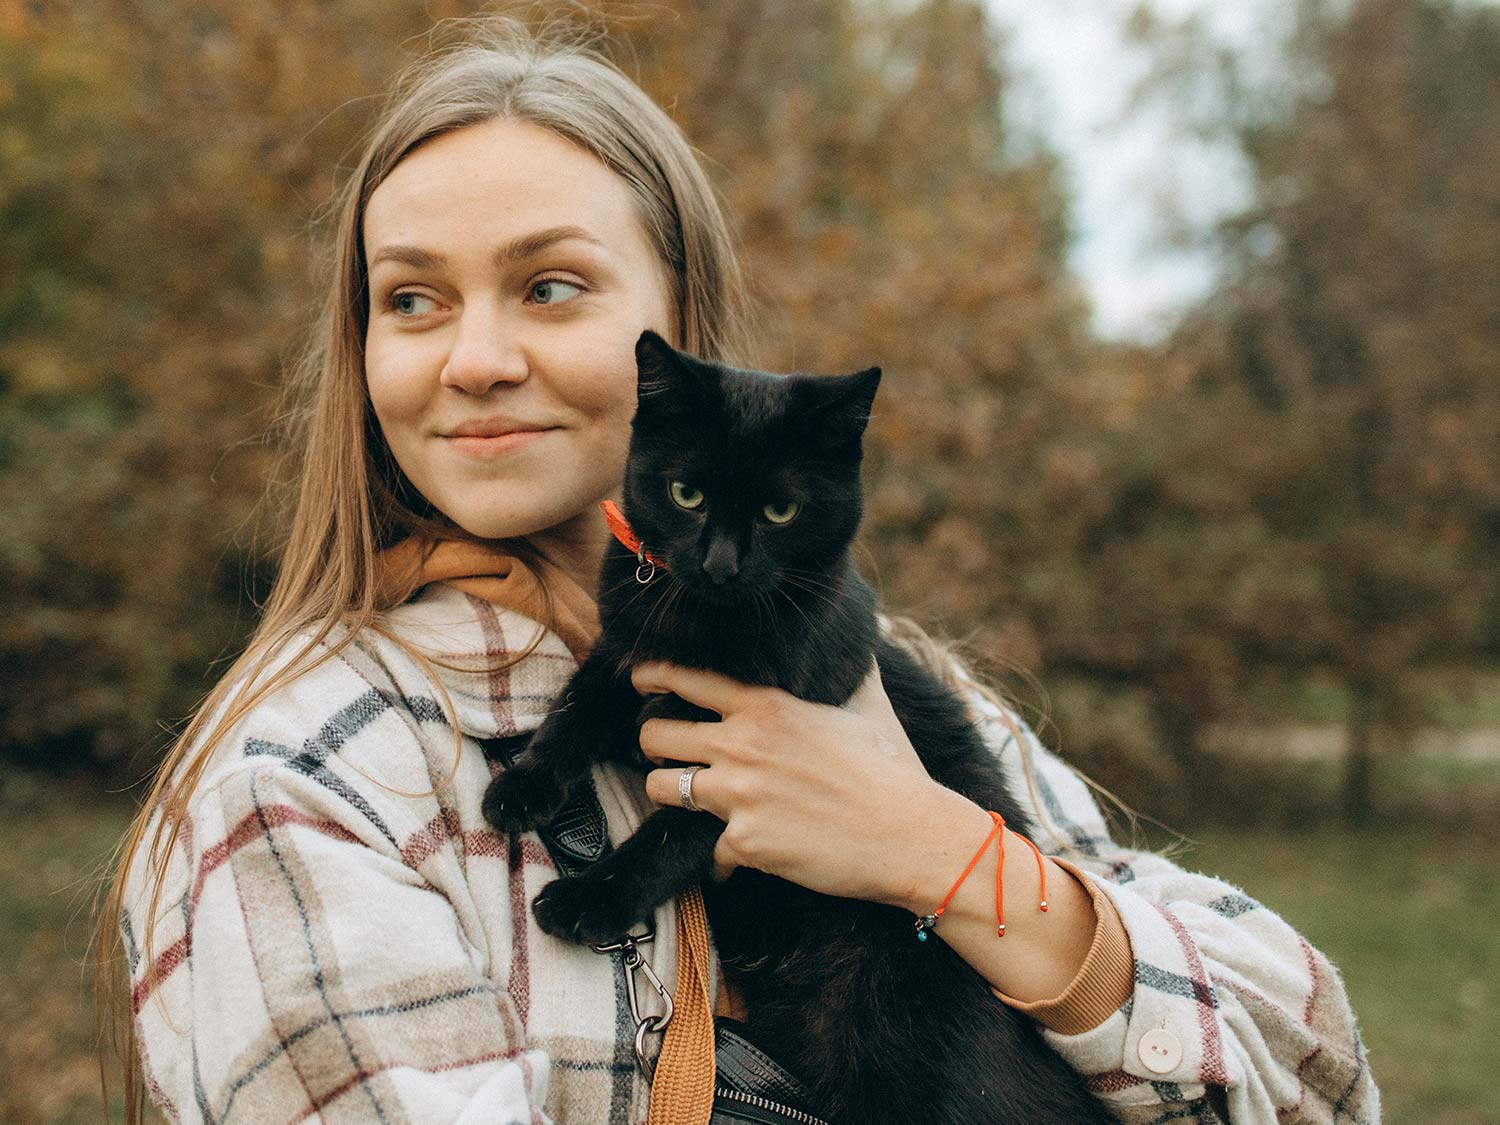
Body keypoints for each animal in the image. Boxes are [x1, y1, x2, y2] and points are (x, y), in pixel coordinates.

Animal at [486, 334, 1110, 1125]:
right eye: (686, 494)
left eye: (781, 510)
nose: (722, 563)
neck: (705, 630)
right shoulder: (625, 658)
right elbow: (571, 713)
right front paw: (519, 787)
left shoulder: (749, 769)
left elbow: (668, 835)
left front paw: (588, 899)